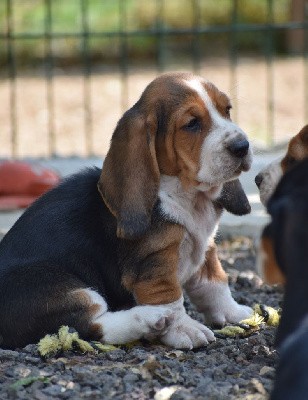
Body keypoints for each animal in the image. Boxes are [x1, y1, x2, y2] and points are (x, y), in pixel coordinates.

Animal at [0, 72, 253, 350]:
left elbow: (215, 283)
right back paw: (149, 319)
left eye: (227, 110)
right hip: (53, 285)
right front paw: (183, 328)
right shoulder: (155, 264)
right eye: (192, 124)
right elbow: (170, 297)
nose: (242, 146)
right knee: (89, 325)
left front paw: (233, 313)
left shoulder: (205, 246)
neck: (185, 192)